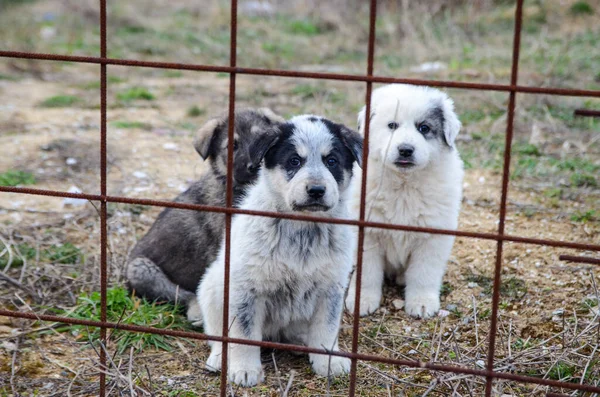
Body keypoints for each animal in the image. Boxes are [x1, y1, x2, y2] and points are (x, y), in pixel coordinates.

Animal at [199, 113, 364, 384]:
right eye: (294, 161)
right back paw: (219, 358)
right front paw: (244, 369)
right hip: (212, 288)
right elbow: (243, 334)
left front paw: (328, 361)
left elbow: (326, 329)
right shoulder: (246, 289)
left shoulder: (331, 288)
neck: (303, 229)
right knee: (216, 333)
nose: (316, 190)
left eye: (332, 161)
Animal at [342, 83, 464, 318]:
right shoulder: (367, 234)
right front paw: (362, 300)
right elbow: (367, 272)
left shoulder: (432, 236)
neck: (404, 185)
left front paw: (422, 303)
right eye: (392, 125)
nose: (405, 149)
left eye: (424, 128)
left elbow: (424, 273)